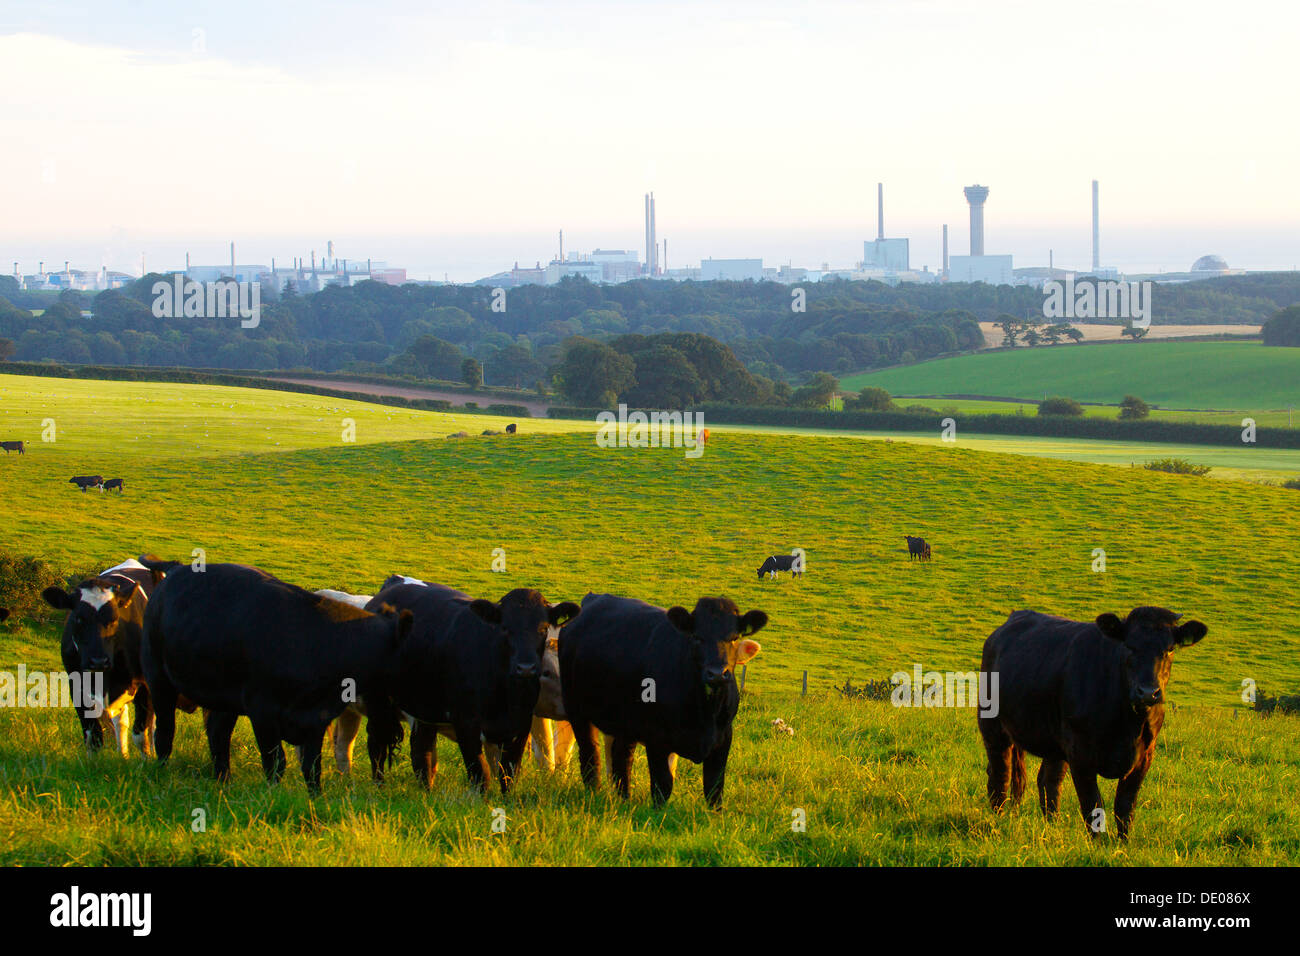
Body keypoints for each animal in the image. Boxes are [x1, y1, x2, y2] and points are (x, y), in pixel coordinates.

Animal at [139, 561, 410, 790]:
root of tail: (176, 568)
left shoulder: (317, 718)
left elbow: (312, 768)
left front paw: (315, 800)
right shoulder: (262, 711)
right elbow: (276, 761)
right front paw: (273, 795)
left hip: (225, 698)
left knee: (217, 733)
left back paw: (223, 780)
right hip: (158, 677)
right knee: (165, 730)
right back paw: (161, 772)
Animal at [371, 582, 585, 790]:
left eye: (543, 629)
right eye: (504, 628)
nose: (526, 668)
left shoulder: (520, 726)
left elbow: (509, 774)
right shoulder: (465, 723)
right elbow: (481, 774)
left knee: (423, 750)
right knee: (379, 745)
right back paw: (379, 787)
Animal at [556, 590, 759, 806]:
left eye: (735, 638)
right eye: (696, 637)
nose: (717, 673)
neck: (705, 712)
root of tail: (593, 598)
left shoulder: (723, 737)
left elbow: (714, 787)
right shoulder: (656, 736)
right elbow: (663, 784)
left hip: (625, 722)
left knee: (621, 758)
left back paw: (624, 800)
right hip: (576, 710)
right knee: (590, 754)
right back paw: (593, 792)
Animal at [977, 608, 1211, 842]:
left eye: (1169, 649)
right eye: (1129, 646)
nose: (1147, 692)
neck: (1129, 725)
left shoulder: (1145, 755)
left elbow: (1125, 806)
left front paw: (1123, 844)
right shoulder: (1080, 754)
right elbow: (1093, 804)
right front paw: (1097, 843)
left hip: (1054, 742)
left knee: (1047, 781)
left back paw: (1052, 826)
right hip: (992, 726)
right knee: (1000, 773)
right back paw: (998, 819)